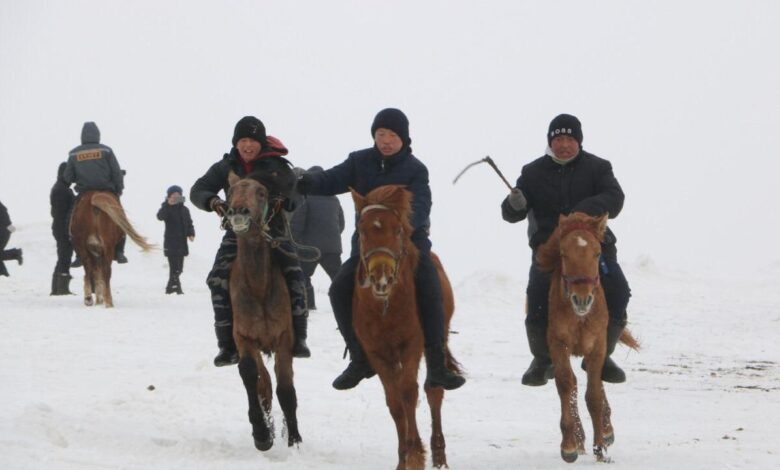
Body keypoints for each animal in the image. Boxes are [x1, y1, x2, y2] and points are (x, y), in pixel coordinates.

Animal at [224, 170, 302, 451]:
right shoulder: (244, 337)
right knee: (264, 383)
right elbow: (251, 377)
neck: (258, 288)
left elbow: (286, 389)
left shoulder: (284, 338)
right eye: (230, 191)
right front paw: (261, 434)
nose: (238, 211)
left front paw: (294, 440)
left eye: (261, 192)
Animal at [351, 185, 461, 470]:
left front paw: (414, 454)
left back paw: (439, 455)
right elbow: (395, 402)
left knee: (434, 391)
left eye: (398, 230)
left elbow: (409, 393)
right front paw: (404, 457)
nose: (381, 278)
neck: (385, 306)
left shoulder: (411, 346)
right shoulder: (377, 353)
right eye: (362, 230)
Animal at [536, 212, 639, 463]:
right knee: (573, 383)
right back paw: (580, 437)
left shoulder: (597, 347)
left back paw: (607, 430)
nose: (582, 299)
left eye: (597, 253)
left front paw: (600, 448)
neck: (580, 317)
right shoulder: (558, 344)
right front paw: (569, 446)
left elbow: (593, 395)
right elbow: (566, 384)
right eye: (564, 253)